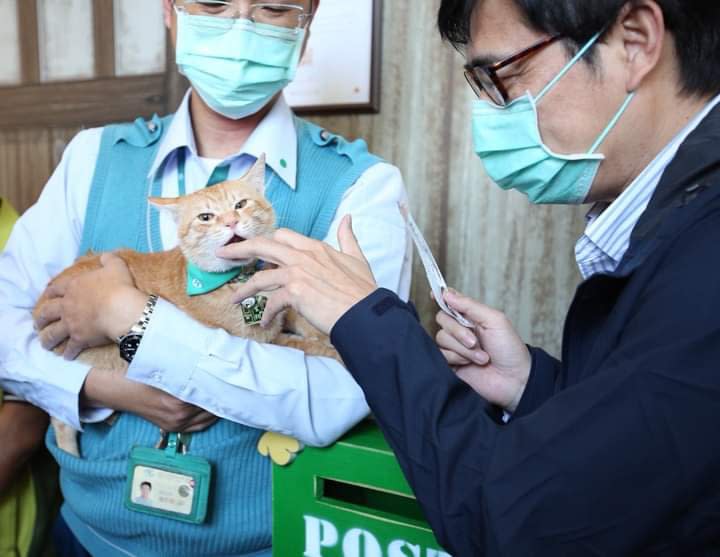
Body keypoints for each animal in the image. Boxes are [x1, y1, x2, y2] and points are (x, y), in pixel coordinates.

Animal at [38, 155, 340, 456]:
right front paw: (333, 349)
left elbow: (299, 316)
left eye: (240, 204)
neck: (241, 280)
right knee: (61, 421)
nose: (231, 222)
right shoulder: (259, 341)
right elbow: (301, 345)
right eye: (206, 217)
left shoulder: (281, 307)